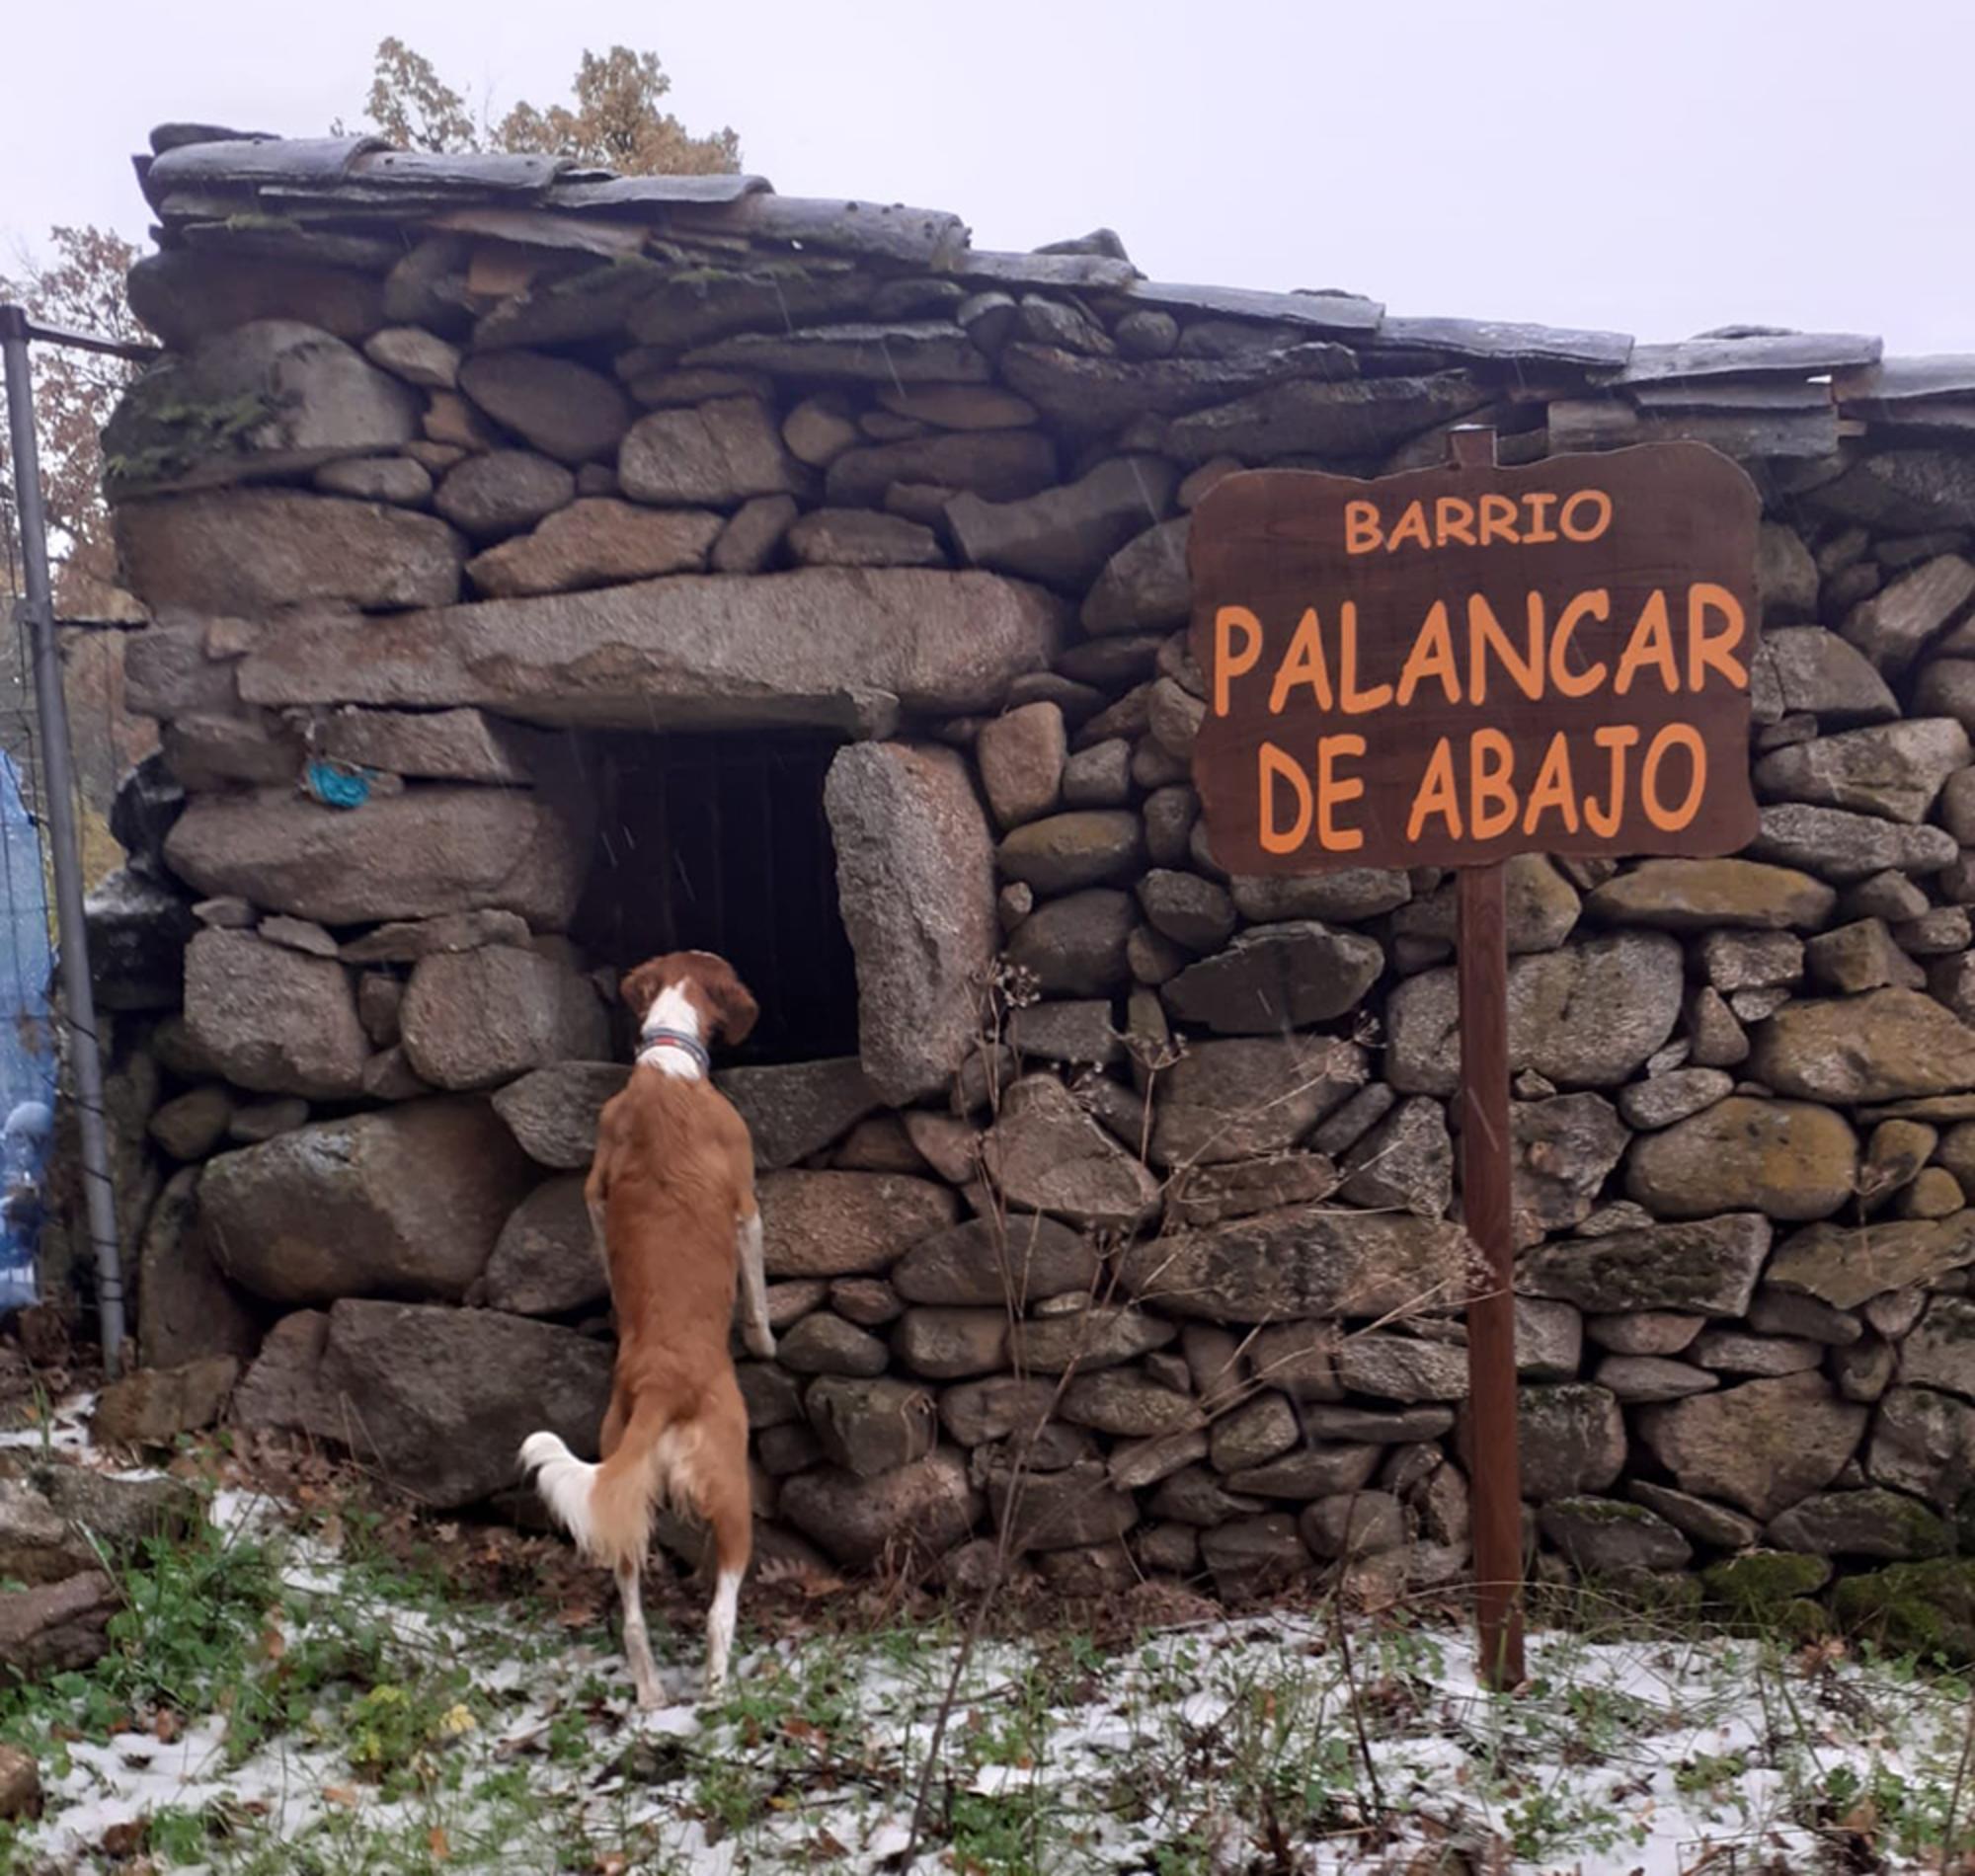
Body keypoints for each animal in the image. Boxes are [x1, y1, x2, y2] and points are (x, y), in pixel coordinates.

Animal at [521, 956, 774, 1706]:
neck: (668, 1063)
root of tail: (663, 1384)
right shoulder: (746, 1202)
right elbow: (756, 1289)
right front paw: (765, 1339)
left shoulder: (595, 1191)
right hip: (732, 1494)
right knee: (721, 1610)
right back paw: (716, 1689)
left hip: (620, 1485)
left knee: (632, 1615)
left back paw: (653, 1694)